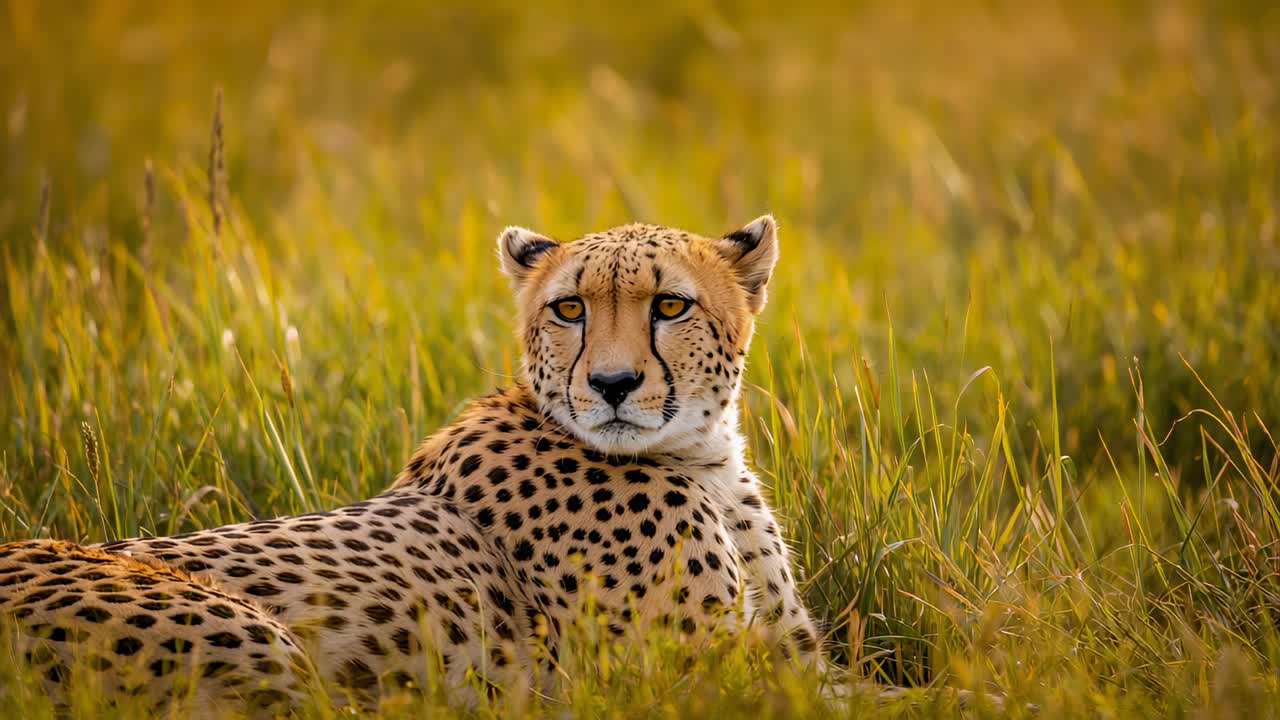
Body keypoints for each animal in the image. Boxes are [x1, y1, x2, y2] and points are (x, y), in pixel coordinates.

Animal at [0, 215, 824, 713]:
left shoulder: (790, 664)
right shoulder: (694, 686)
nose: (612, 384)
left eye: (670, 306)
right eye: (568, 309)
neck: (699, 458)